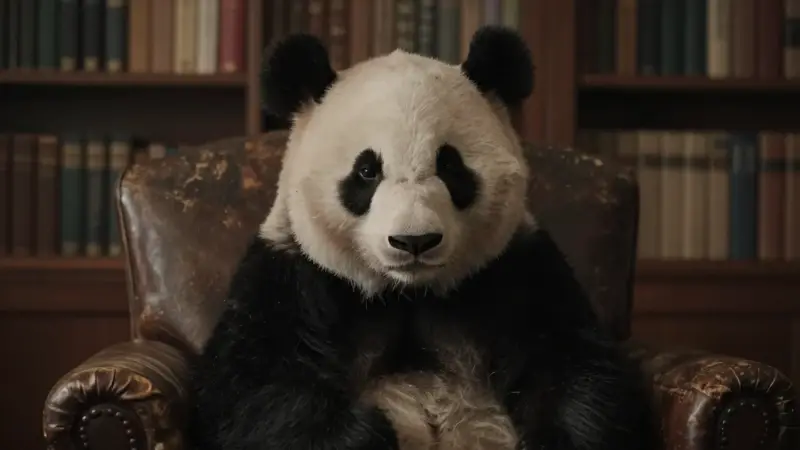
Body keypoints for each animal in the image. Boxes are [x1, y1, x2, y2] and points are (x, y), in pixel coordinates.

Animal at [187, 26, 657, 450]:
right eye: (366, 170)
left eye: (449, 166)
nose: (414, 241)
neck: (408, 292)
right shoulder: (293, 272)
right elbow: (252, 387)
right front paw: (367, 435)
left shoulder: (517, 267)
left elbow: (575, 365)